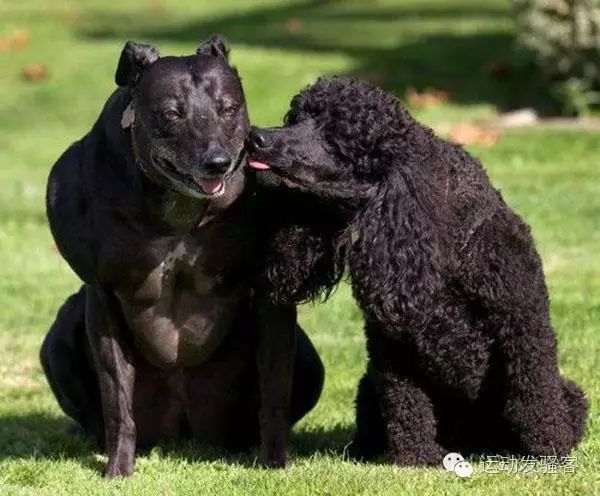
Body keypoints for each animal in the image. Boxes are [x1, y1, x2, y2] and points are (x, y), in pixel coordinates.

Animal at [40, 36, 324, 474]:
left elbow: (275, 388)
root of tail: (182, 431)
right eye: (172, 113)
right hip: (57, 341)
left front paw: (275, 461)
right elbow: (116, 398)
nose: (217, 161)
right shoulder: (102, 295)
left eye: (228, 108)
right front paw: (118, 468)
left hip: (305, 364)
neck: (177, 208)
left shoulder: (271, 295)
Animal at [246, 77, 588, 464]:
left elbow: (534, 395)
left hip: (569, 394)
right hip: (368, 388)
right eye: (295, 119)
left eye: (333, 138)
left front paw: (549, 452)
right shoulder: (390, 341)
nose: (257, 137)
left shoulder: (523, 322)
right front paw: (418, 458)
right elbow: (405, 404)